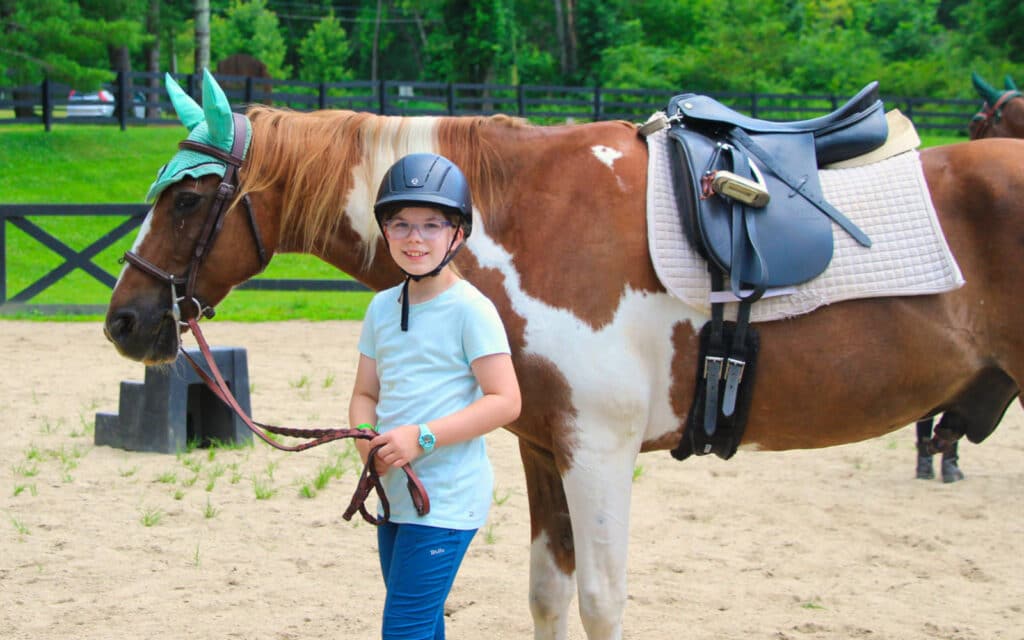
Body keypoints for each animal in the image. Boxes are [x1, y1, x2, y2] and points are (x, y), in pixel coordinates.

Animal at [105, 76, 1024, 638]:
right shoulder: (545, 449)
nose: (124, 320)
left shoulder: (599, 452)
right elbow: (548, 594)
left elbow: (600, 603)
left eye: (186, 200)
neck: (525, 220)